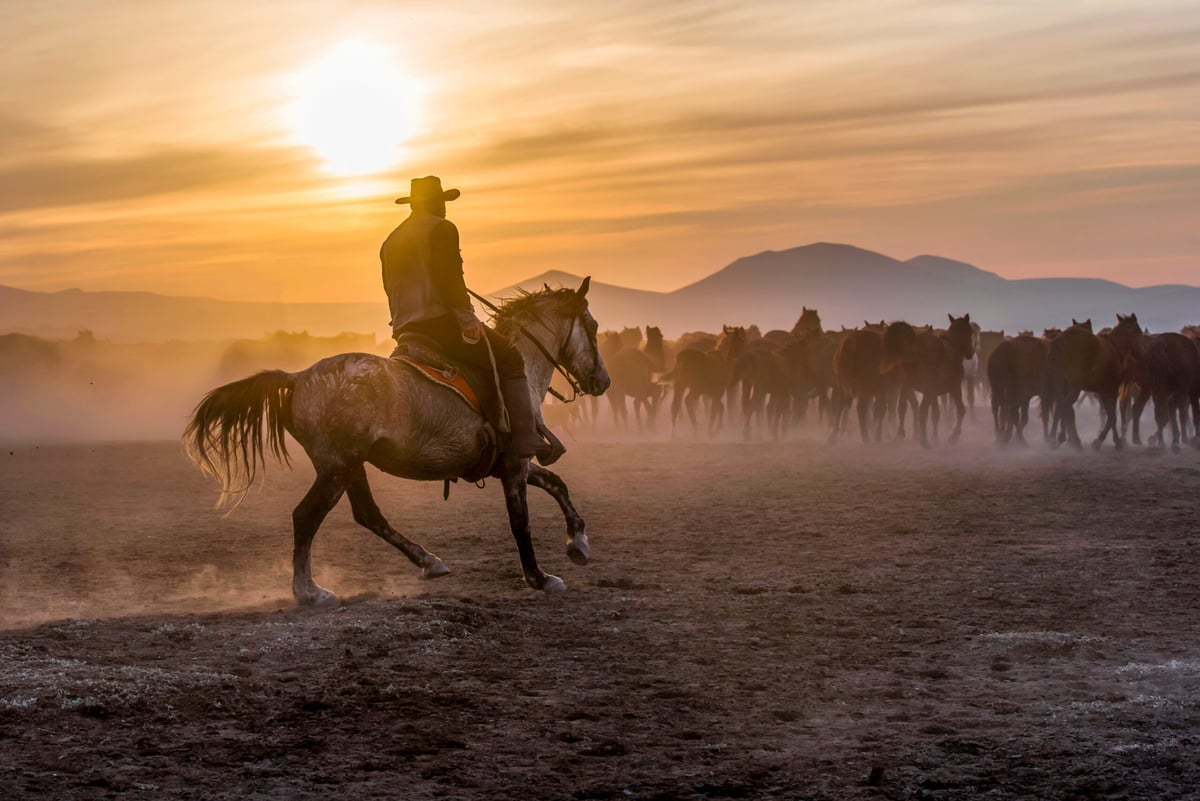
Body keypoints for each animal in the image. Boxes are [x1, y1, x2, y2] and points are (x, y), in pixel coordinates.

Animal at [183, 280, 610, 606]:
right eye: (592, 325)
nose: (603, 381)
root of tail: (299, 376)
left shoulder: (508, 463)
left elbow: (557, 484)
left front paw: (578, 542)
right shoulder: (514, 464)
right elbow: (521, 521)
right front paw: (539, 577)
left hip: (349, 466)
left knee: (368, 515)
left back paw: (428, 561)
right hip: (337, 468)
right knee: (305, 517)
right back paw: (309, 591)